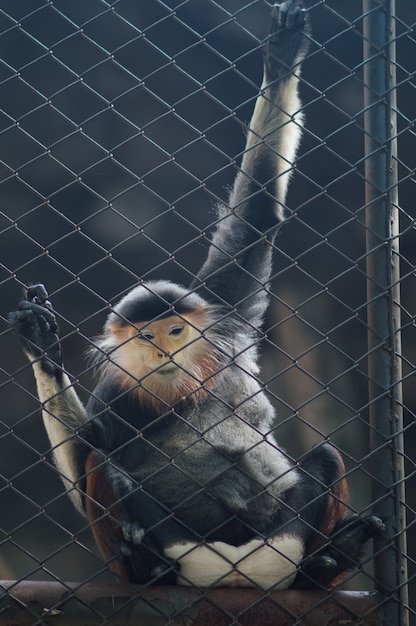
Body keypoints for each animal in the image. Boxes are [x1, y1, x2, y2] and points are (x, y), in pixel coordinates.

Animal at [9, 0, 382, 588]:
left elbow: (256, 216)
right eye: (147, 338)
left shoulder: (226, 319)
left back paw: (324, 563)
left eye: (176, 331)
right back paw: (146, 564)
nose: (164, 350)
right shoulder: (118, 390)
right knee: (102, 466)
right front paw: (42, 347)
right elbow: (87, 456)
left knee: (325, 456)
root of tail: (232, 572)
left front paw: (281, 58)